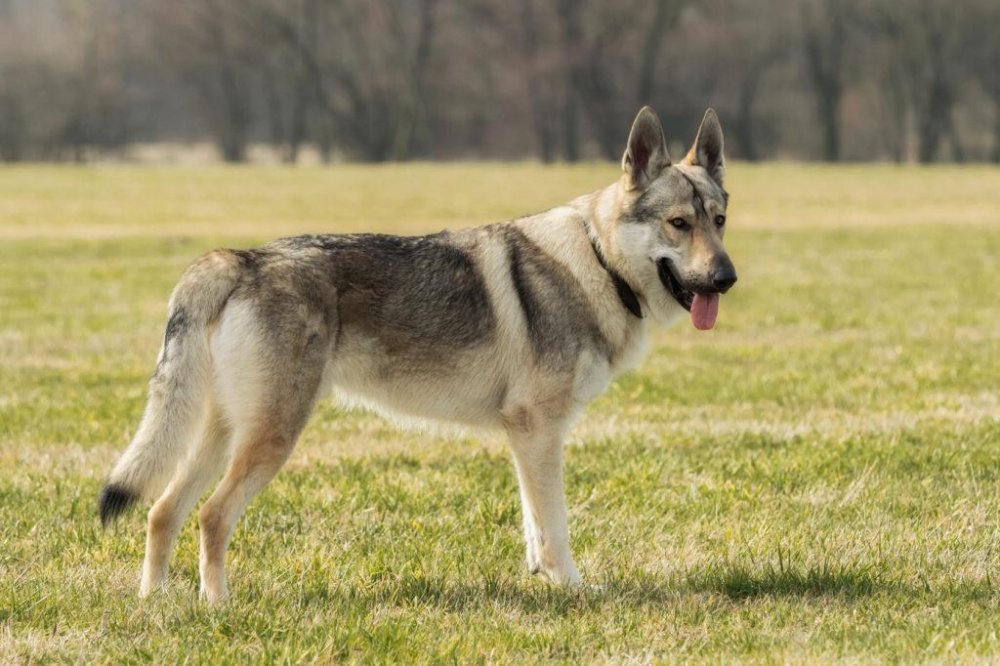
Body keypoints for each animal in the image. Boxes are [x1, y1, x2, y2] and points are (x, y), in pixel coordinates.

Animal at [99, 106, 736, 600]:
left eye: (720, 220)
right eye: (678, 223)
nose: (727, 278)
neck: (598, 262)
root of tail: (238, 258)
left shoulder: (525, 435)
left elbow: (534, 524)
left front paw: (542, 579)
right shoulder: (538, 429)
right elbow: (556, 527)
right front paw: (576, 590)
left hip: (224, 433)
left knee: (161, 512)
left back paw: (156, 604)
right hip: (271, 439)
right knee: (210, 516)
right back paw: (217, 606)